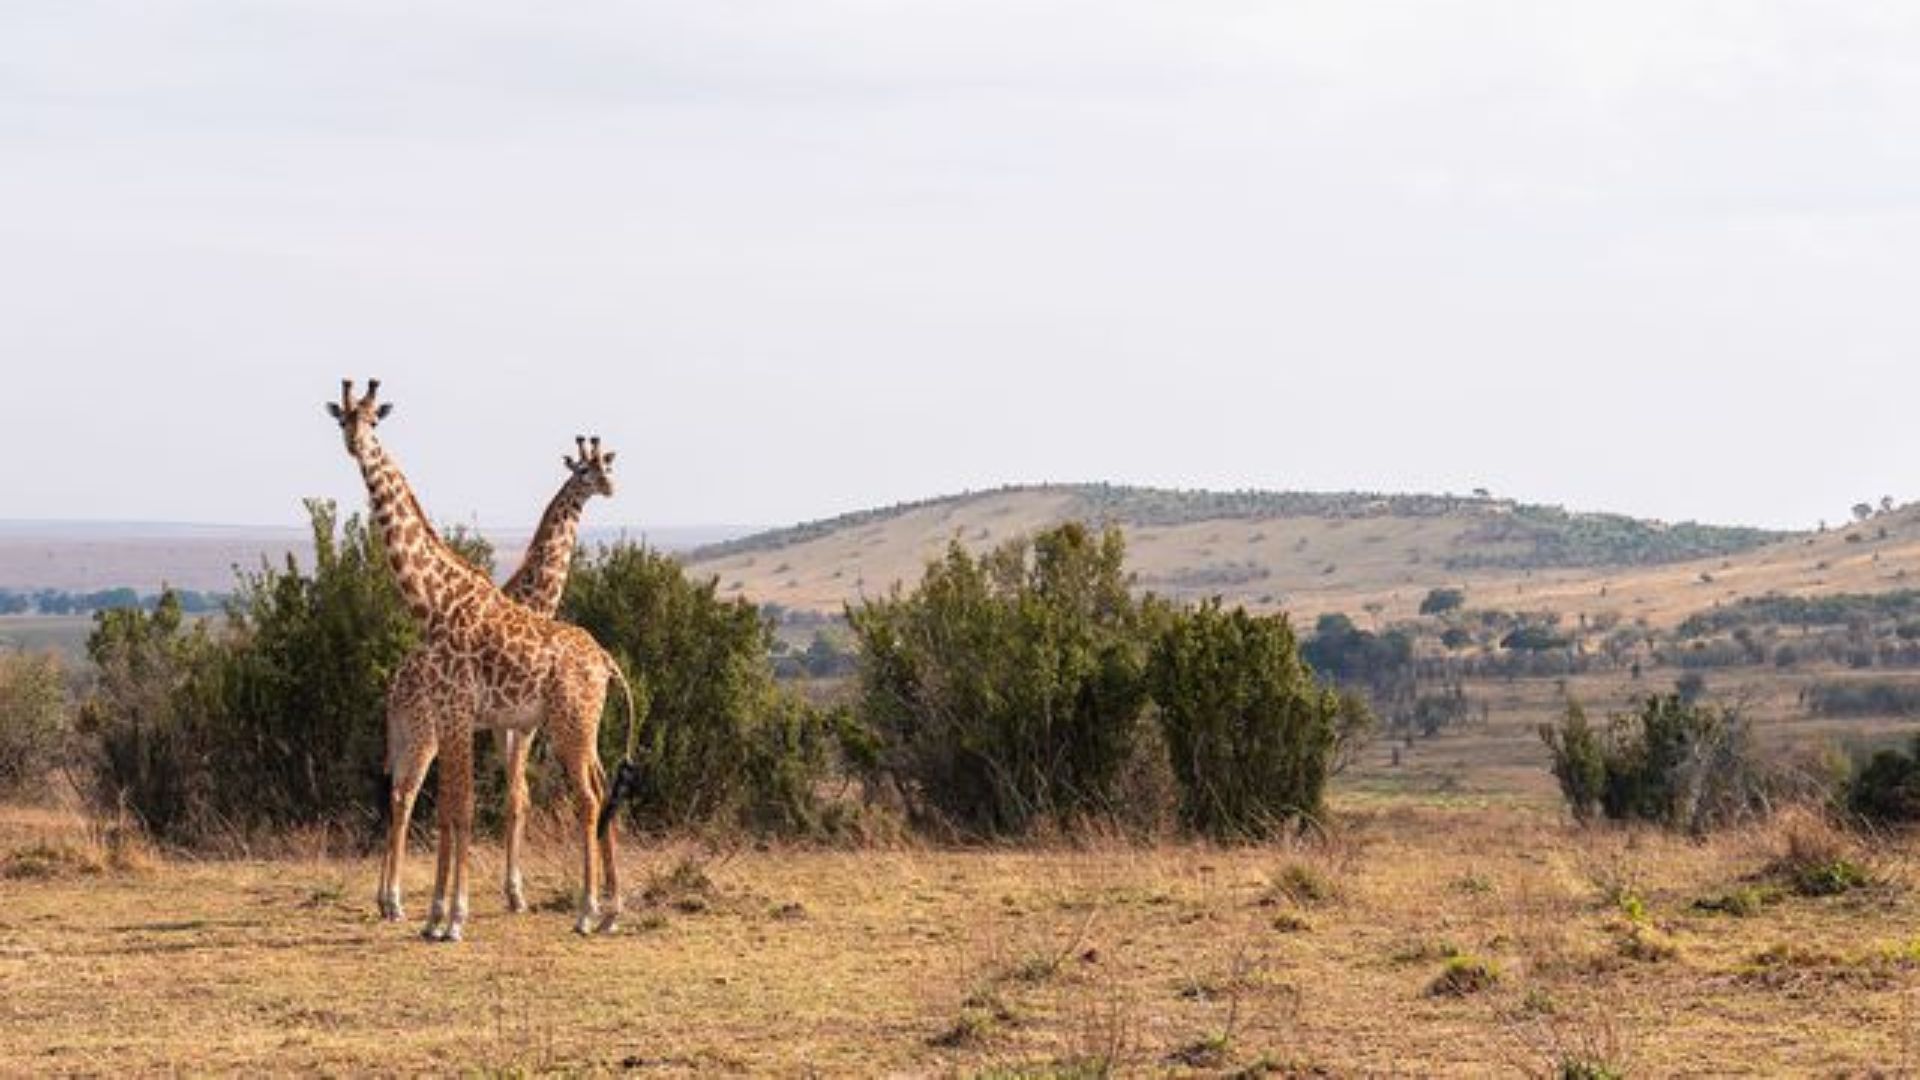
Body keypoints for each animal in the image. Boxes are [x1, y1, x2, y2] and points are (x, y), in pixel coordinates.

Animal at [382, 432, 622, 910]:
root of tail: (393, 689)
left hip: (403, 734)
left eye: (607, 465)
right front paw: (513, 893)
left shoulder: (506, 725)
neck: (532, 600)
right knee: (406, 793)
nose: (609, 486)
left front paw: (511, 890)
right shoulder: (514, 725)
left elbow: (517, 797)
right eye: (584, 471)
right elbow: (516, 798)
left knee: (392, 792)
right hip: (424, 733)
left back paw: (383, 897)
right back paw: (395, 898)